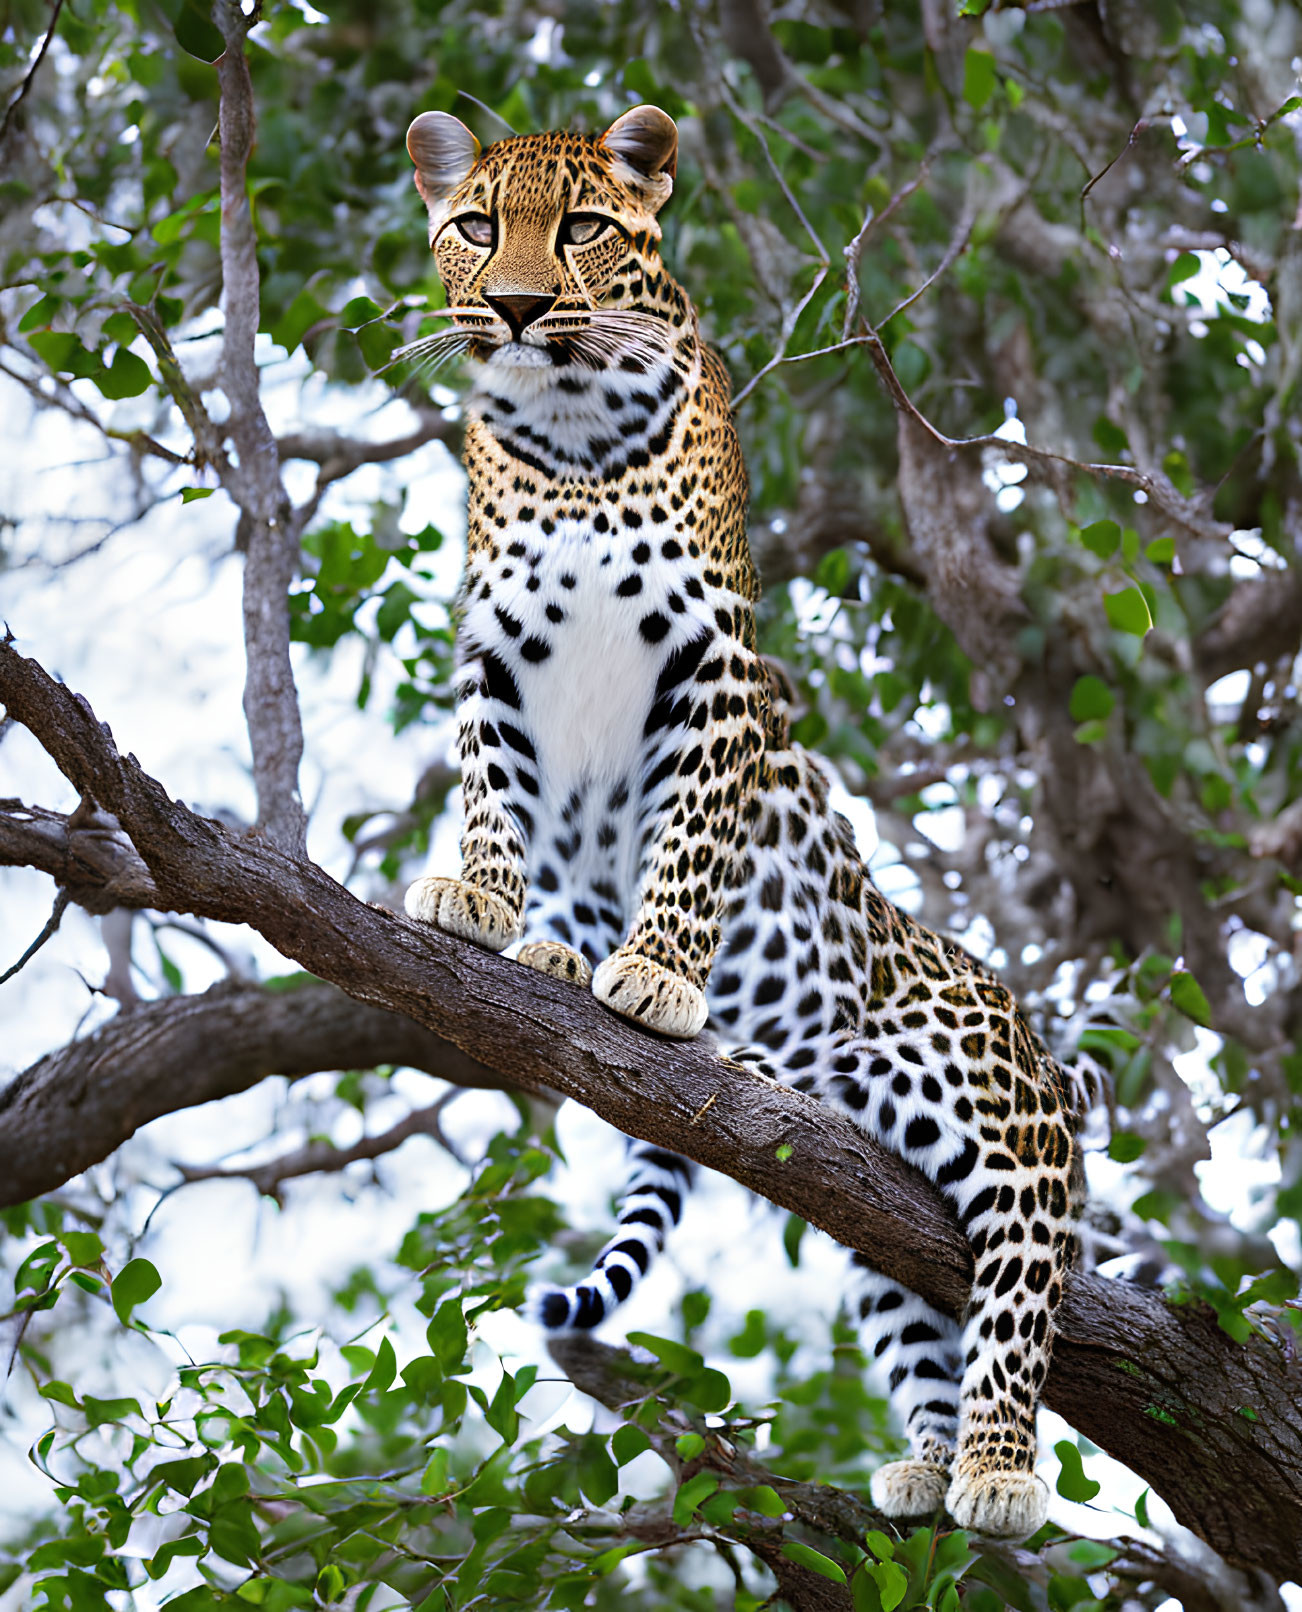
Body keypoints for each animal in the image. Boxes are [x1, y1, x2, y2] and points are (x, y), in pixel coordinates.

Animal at [401, 100, 1082, 1534]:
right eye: (477, 224)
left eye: (581, 228)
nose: (519, 306)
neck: (569, 432)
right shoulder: (500, 653)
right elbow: (499, 788)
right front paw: (499, 910)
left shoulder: (711, 661)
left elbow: (696, 839)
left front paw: (657, 974)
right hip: (881, 1224)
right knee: (918, 1317)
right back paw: (925, 1465)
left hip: (999, 1128)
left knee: (1014, 1298)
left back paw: (996, 1471)